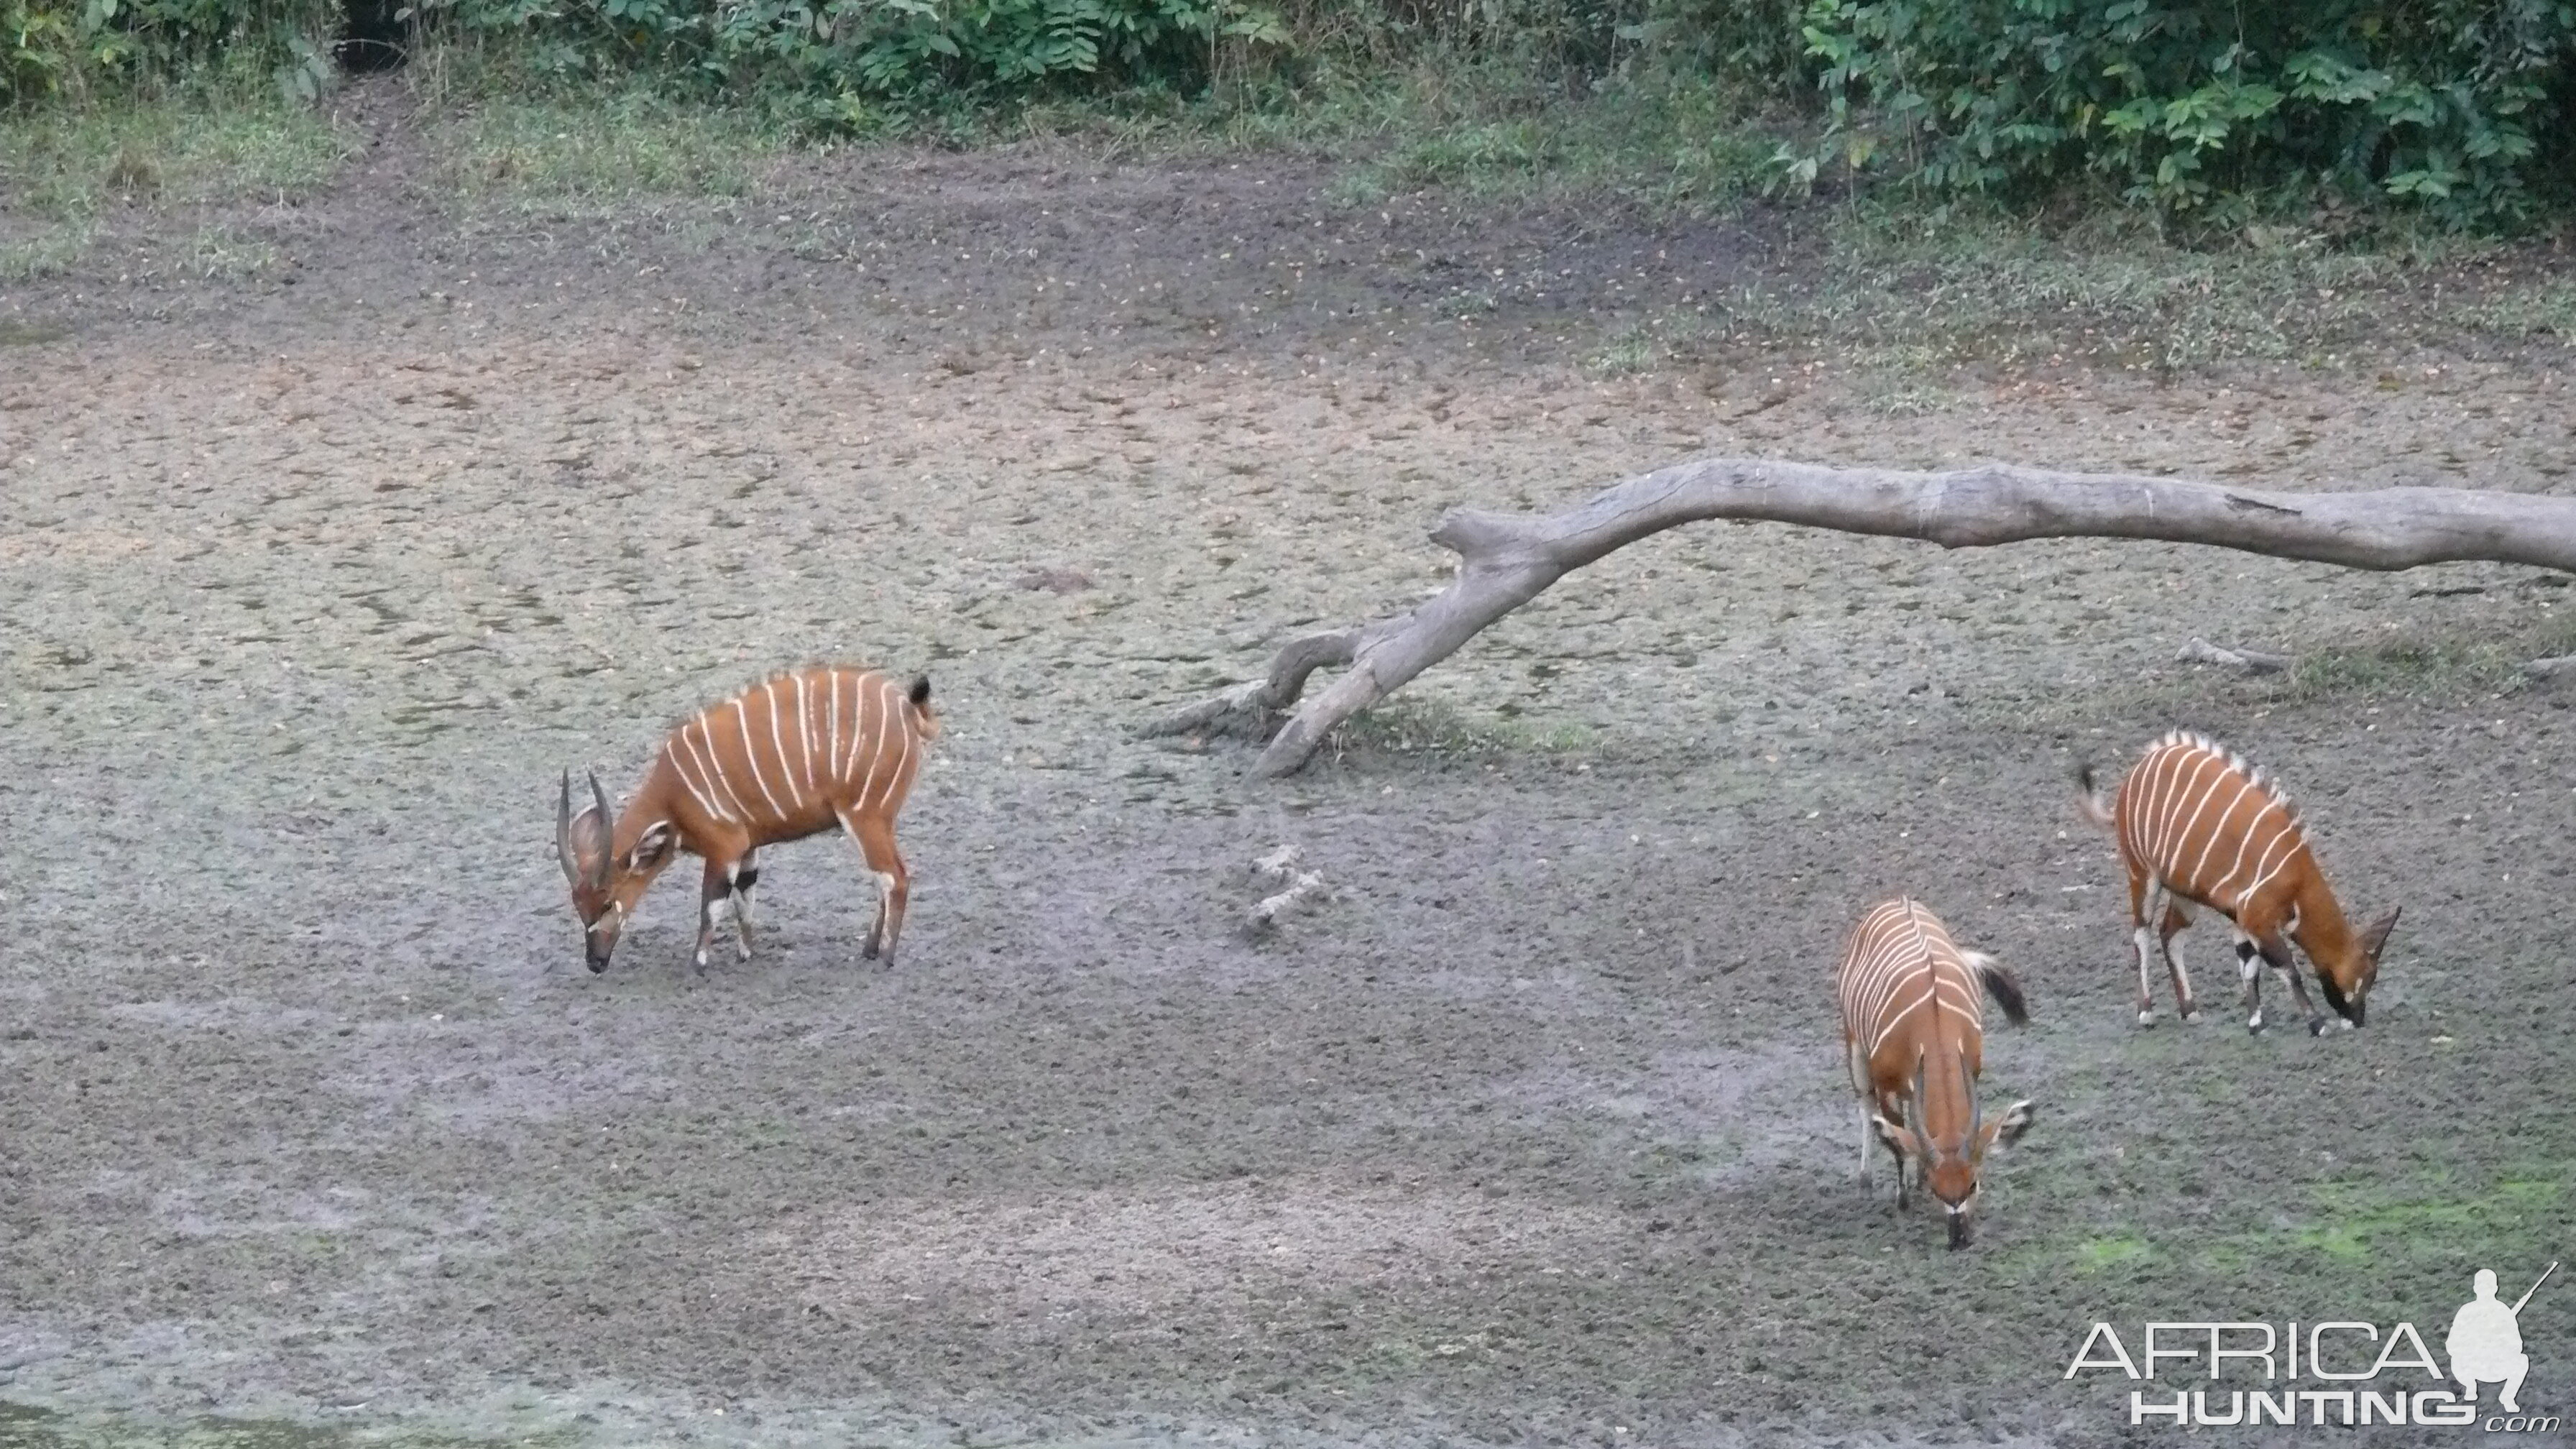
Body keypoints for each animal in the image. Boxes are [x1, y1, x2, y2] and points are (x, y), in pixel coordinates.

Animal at [553, 665, 947, 969]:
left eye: (607, 902)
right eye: (578, 906)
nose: (595, 962)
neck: (673, 792)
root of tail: (909, 708)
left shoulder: (726, 847)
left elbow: (711, 906)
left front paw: (697, 963)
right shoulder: (748, 849)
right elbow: (746, 901)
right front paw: (746, 954)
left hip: (866, 817)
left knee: (896, 877)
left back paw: (886, 957)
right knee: (883, 879)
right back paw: (868, 949)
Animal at [1834, 892, 2030, 1243]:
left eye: (1972, 1184)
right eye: (1941, 1192)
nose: (1958, 1238)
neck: (1933, 1020)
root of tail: (1898, 900)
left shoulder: (1970, 1070)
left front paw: (1920, 1180)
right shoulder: (1886, 1086)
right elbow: (1897, 1142)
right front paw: (1904, 1198)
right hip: (1853, 1043)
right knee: (1865, 1107)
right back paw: (1865, 1180)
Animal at [2071, 727, 2390, 1031]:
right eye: (2366, 977)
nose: (2358, 1020)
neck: (2297, 879)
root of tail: (2130, 781)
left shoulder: (2240, 917)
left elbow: (2249, 965)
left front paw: (2256, 1024)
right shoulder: (2256, 918)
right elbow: (2288, 969)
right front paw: (2317, 1024)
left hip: (2184, 892)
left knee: (2169, 934)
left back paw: (2191, 1011)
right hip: (2141, 873)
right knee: (2142, 935)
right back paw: (2146, 1013)